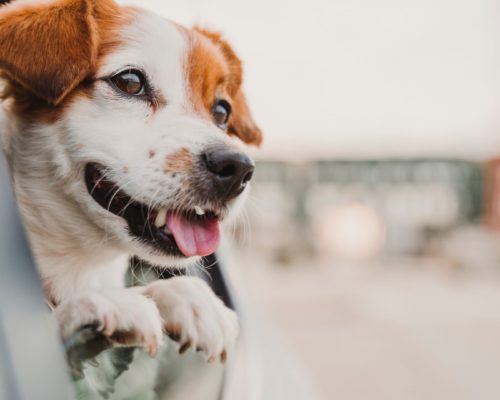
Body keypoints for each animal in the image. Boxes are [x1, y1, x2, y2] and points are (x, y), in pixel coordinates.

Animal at [0, 0, 264, 390]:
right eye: (130, 82)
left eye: (221, 110)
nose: (238, 168)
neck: (81, 264)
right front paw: (92, 304)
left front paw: (189, 297)